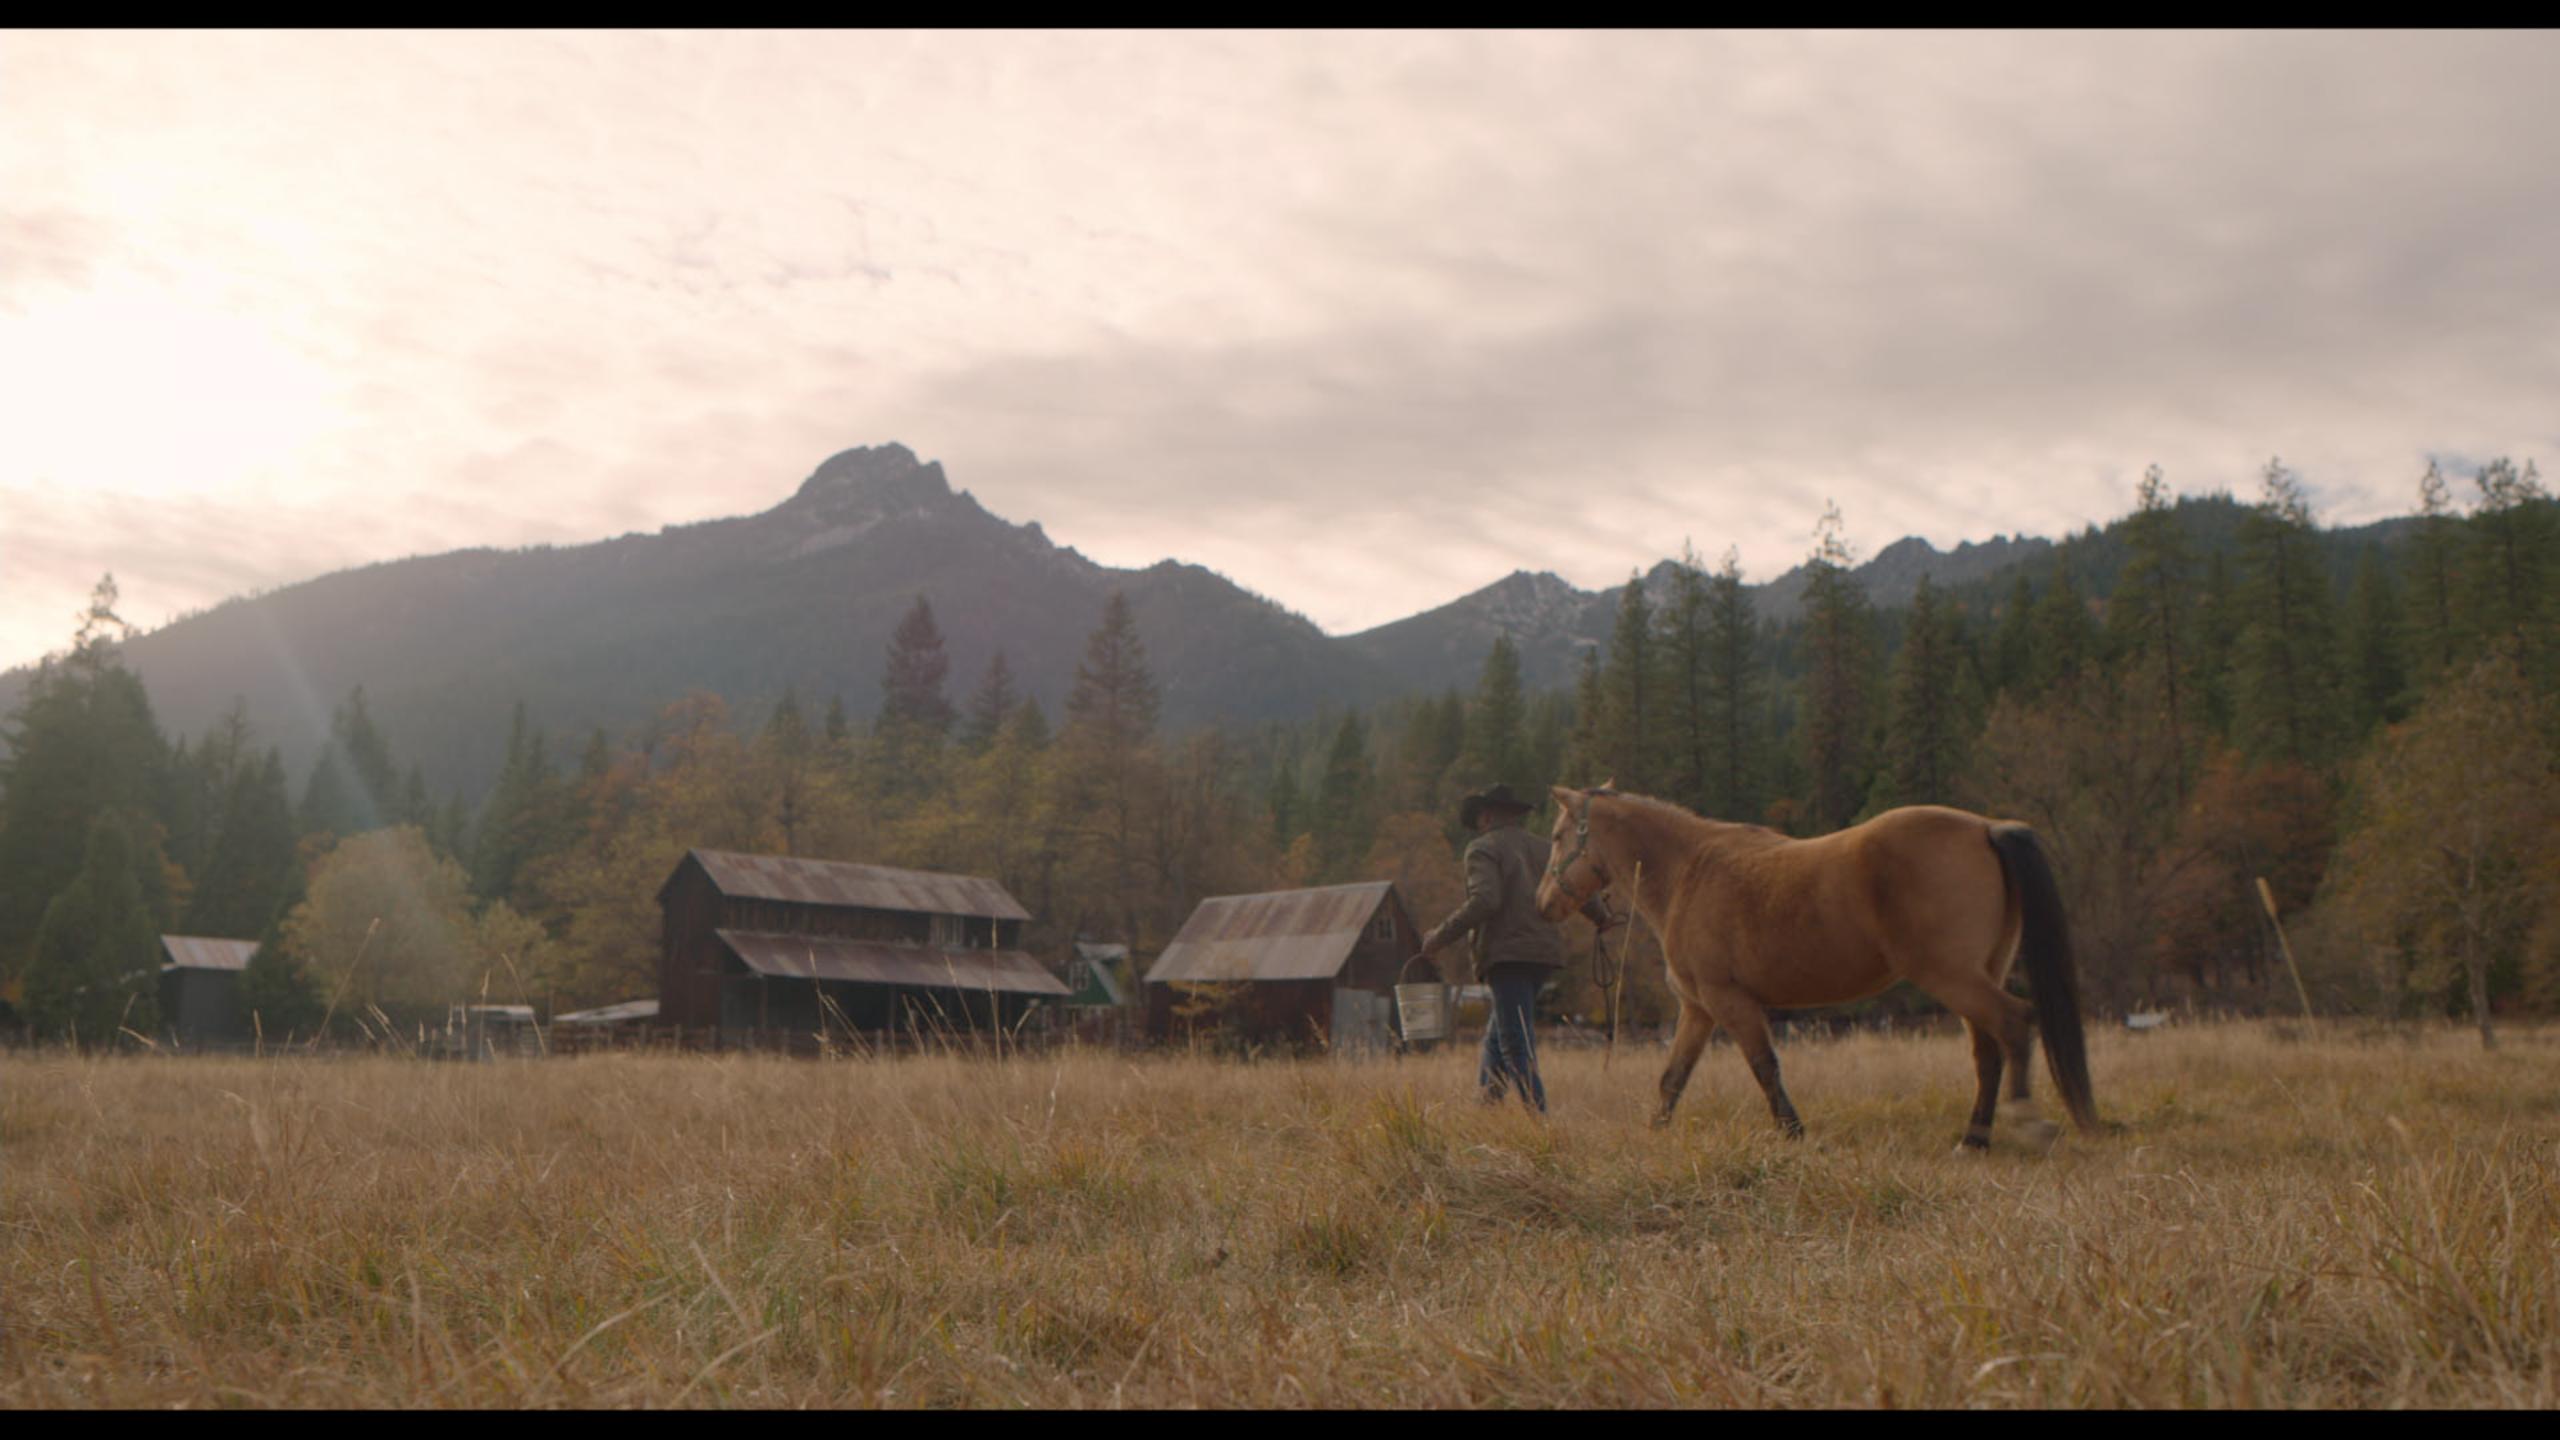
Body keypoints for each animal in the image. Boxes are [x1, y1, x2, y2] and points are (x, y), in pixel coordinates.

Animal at [1525, 778, 2088, 1147]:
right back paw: (1973, 1139)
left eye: (1555, 836)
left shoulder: (1731, 1003)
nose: (1543, 904)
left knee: (2014, 1024)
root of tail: (1986, 828)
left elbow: (1764, 1067)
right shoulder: (1699, 1010)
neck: (1690, 871)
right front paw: (1654, 1135)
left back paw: (2025, 1121)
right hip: (1978, 974)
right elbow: (1672, 1078)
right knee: (1987, 1052)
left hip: (1952, 976)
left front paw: (1794, 1134)